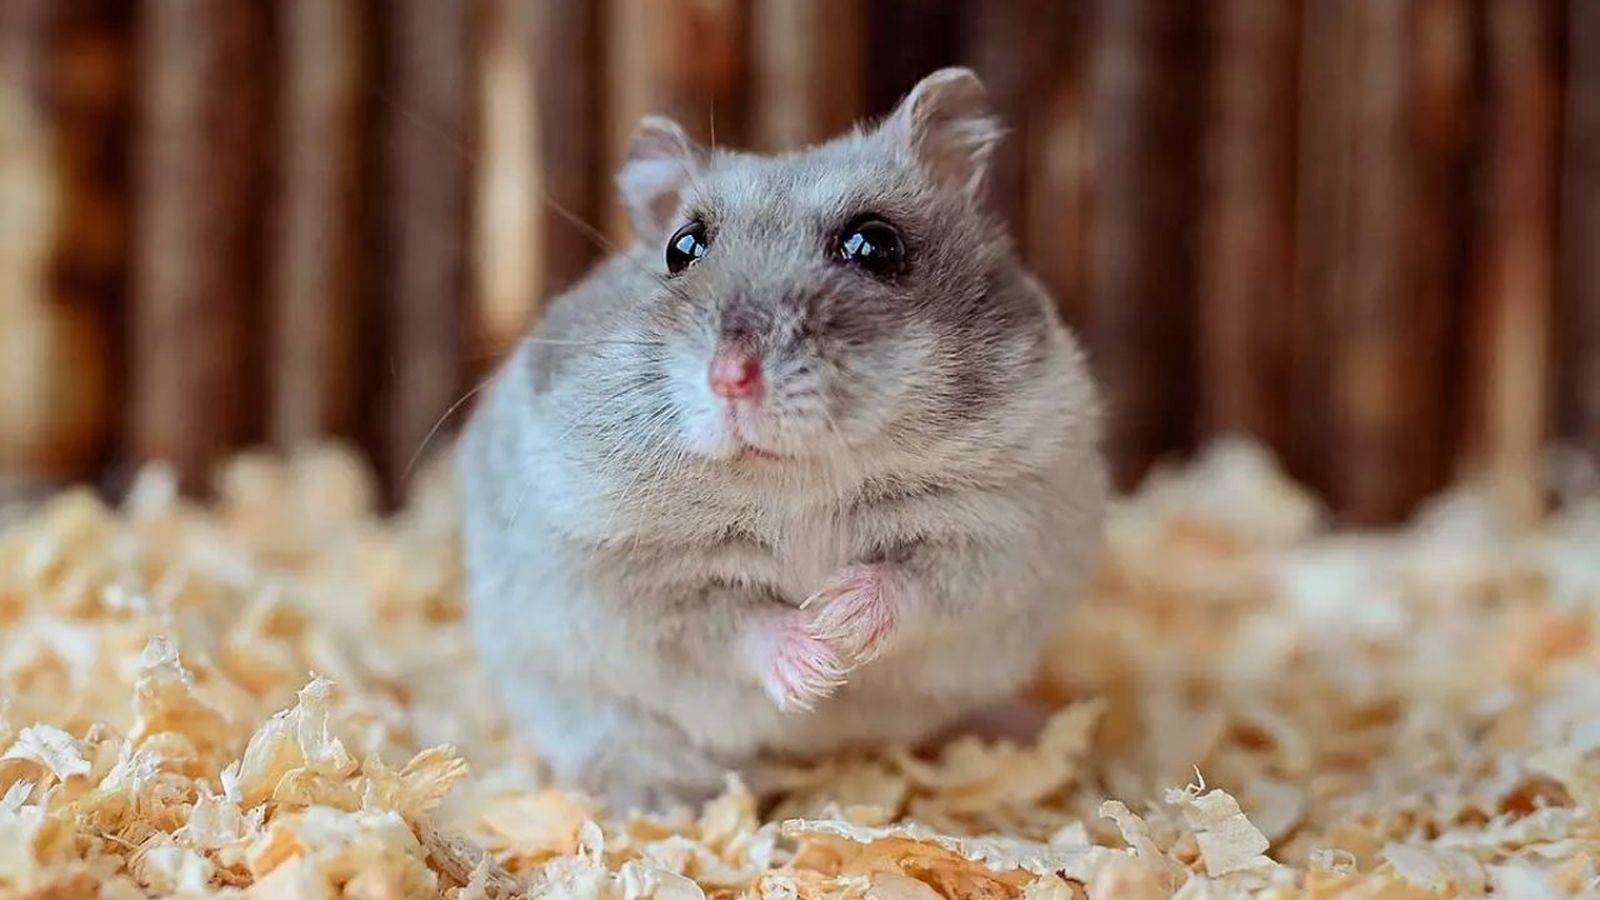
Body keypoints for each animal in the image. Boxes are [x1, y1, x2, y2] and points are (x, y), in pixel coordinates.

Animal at [456, 68, 1107, 811]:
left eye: (874, 245)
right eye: (683, 248)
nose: (730, 377)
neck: (794, 482)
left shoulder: (1002, 529)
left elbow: (920, 581)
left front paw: (840, 618)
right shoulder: (635, 577)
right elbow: (733, 622)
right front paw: (816, 661)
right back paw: (670, 799)